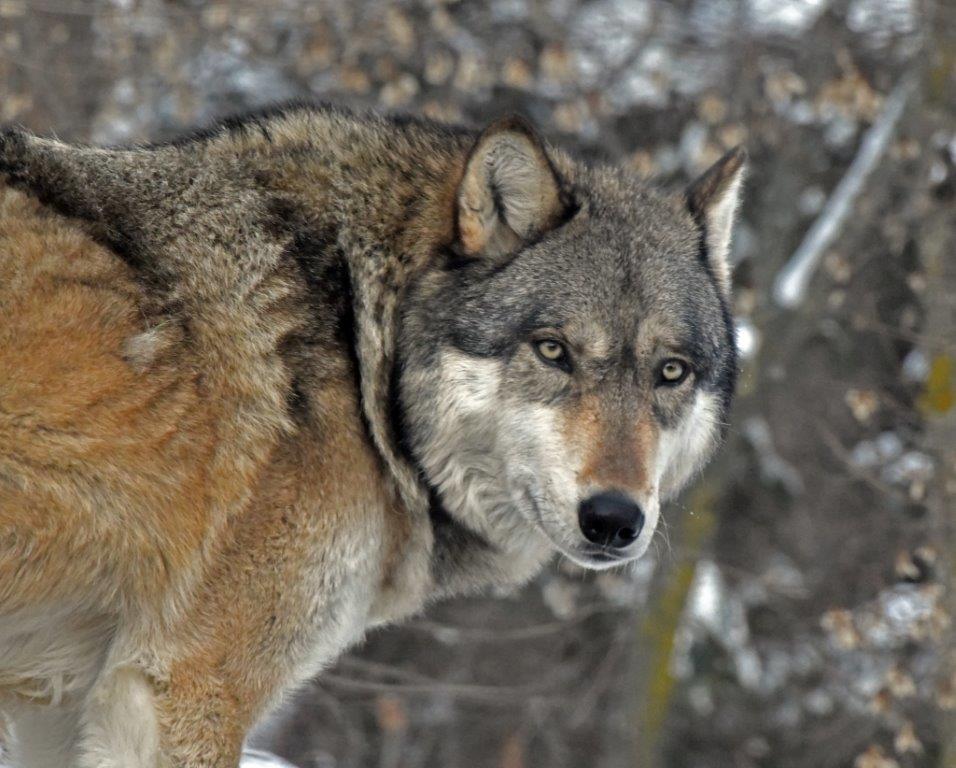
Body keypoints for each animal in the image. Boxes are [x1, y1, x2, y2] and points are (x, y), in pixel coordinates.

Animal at [0, 104, 745, 767]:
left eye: (670, 372)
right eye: (553, 351)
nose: (614, 519)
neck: (362, 356)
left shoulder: (60, 702)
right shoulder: (187, 687)